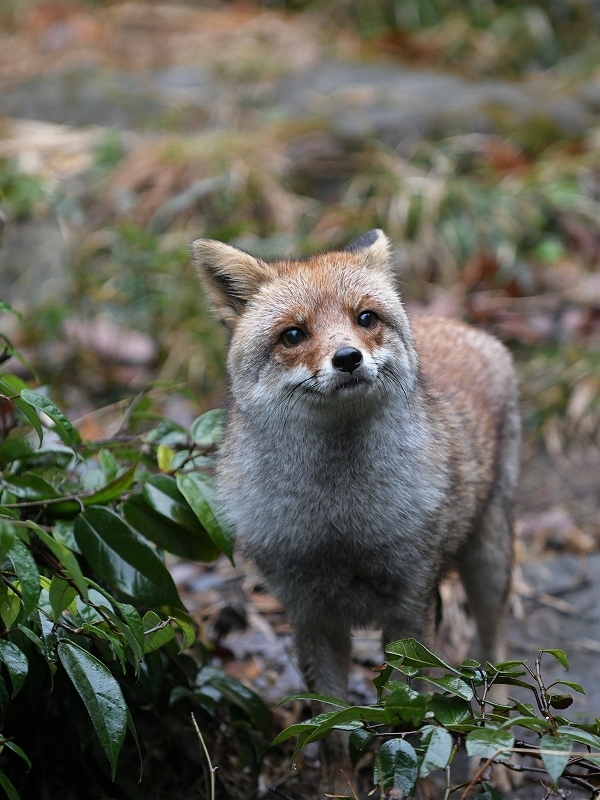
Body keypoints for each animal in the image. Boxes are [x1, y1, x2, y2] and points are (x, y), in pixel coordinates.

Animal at [192, 230, 520, 792]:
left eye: (365, 318)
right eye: (293, 334)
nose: (347, 357)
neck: (340, 524)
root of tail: (463, 327)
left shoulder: (409, 607)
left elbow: (411, 719)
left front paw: (416, 788)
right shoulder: (310, 613)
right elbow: (331, 726)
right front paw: (338, 788)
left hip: (488, 561)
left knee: (494, 649)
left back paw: (493, 756)